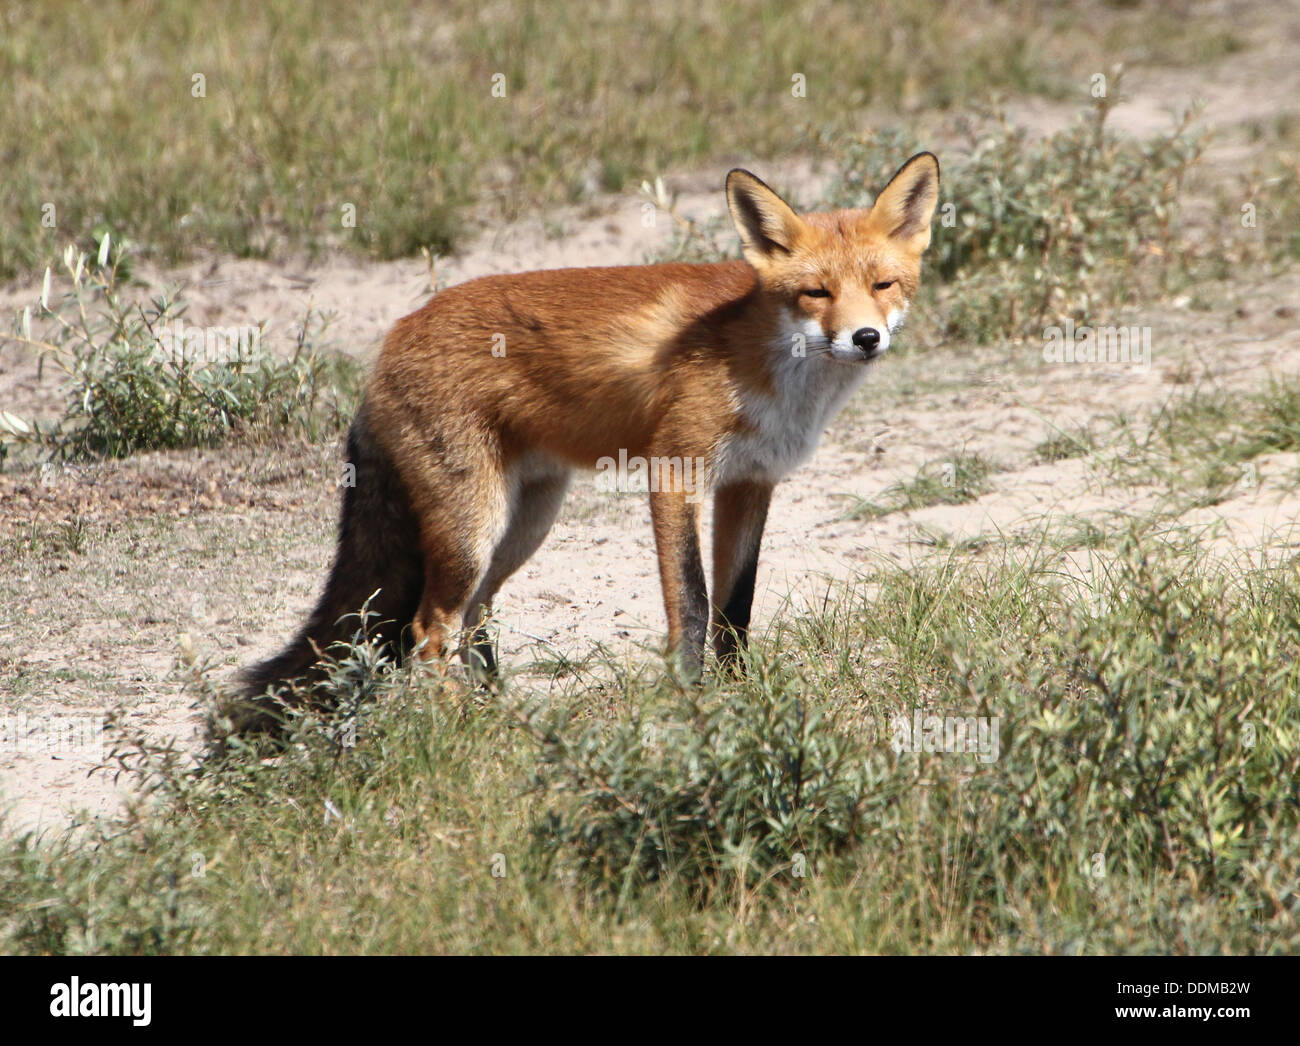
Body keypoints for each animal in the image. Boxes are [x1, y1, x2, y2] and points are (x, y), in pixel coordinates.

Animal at [233, 153, 941, 727]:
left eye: (882, 285)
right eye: (816, 292)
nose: (866, 338)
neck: (766, 362)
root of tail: (393, 337)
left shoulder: (750, 483)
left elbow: (735, 610)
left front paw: (742, 699)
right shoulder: (675, 472)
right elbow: (692, 604)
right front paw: (690, 703)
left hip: (525, 521)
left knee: (474, 618)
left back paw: (501, 713)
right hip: (472, 528)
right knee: (429, 630)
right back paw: (458, 730)